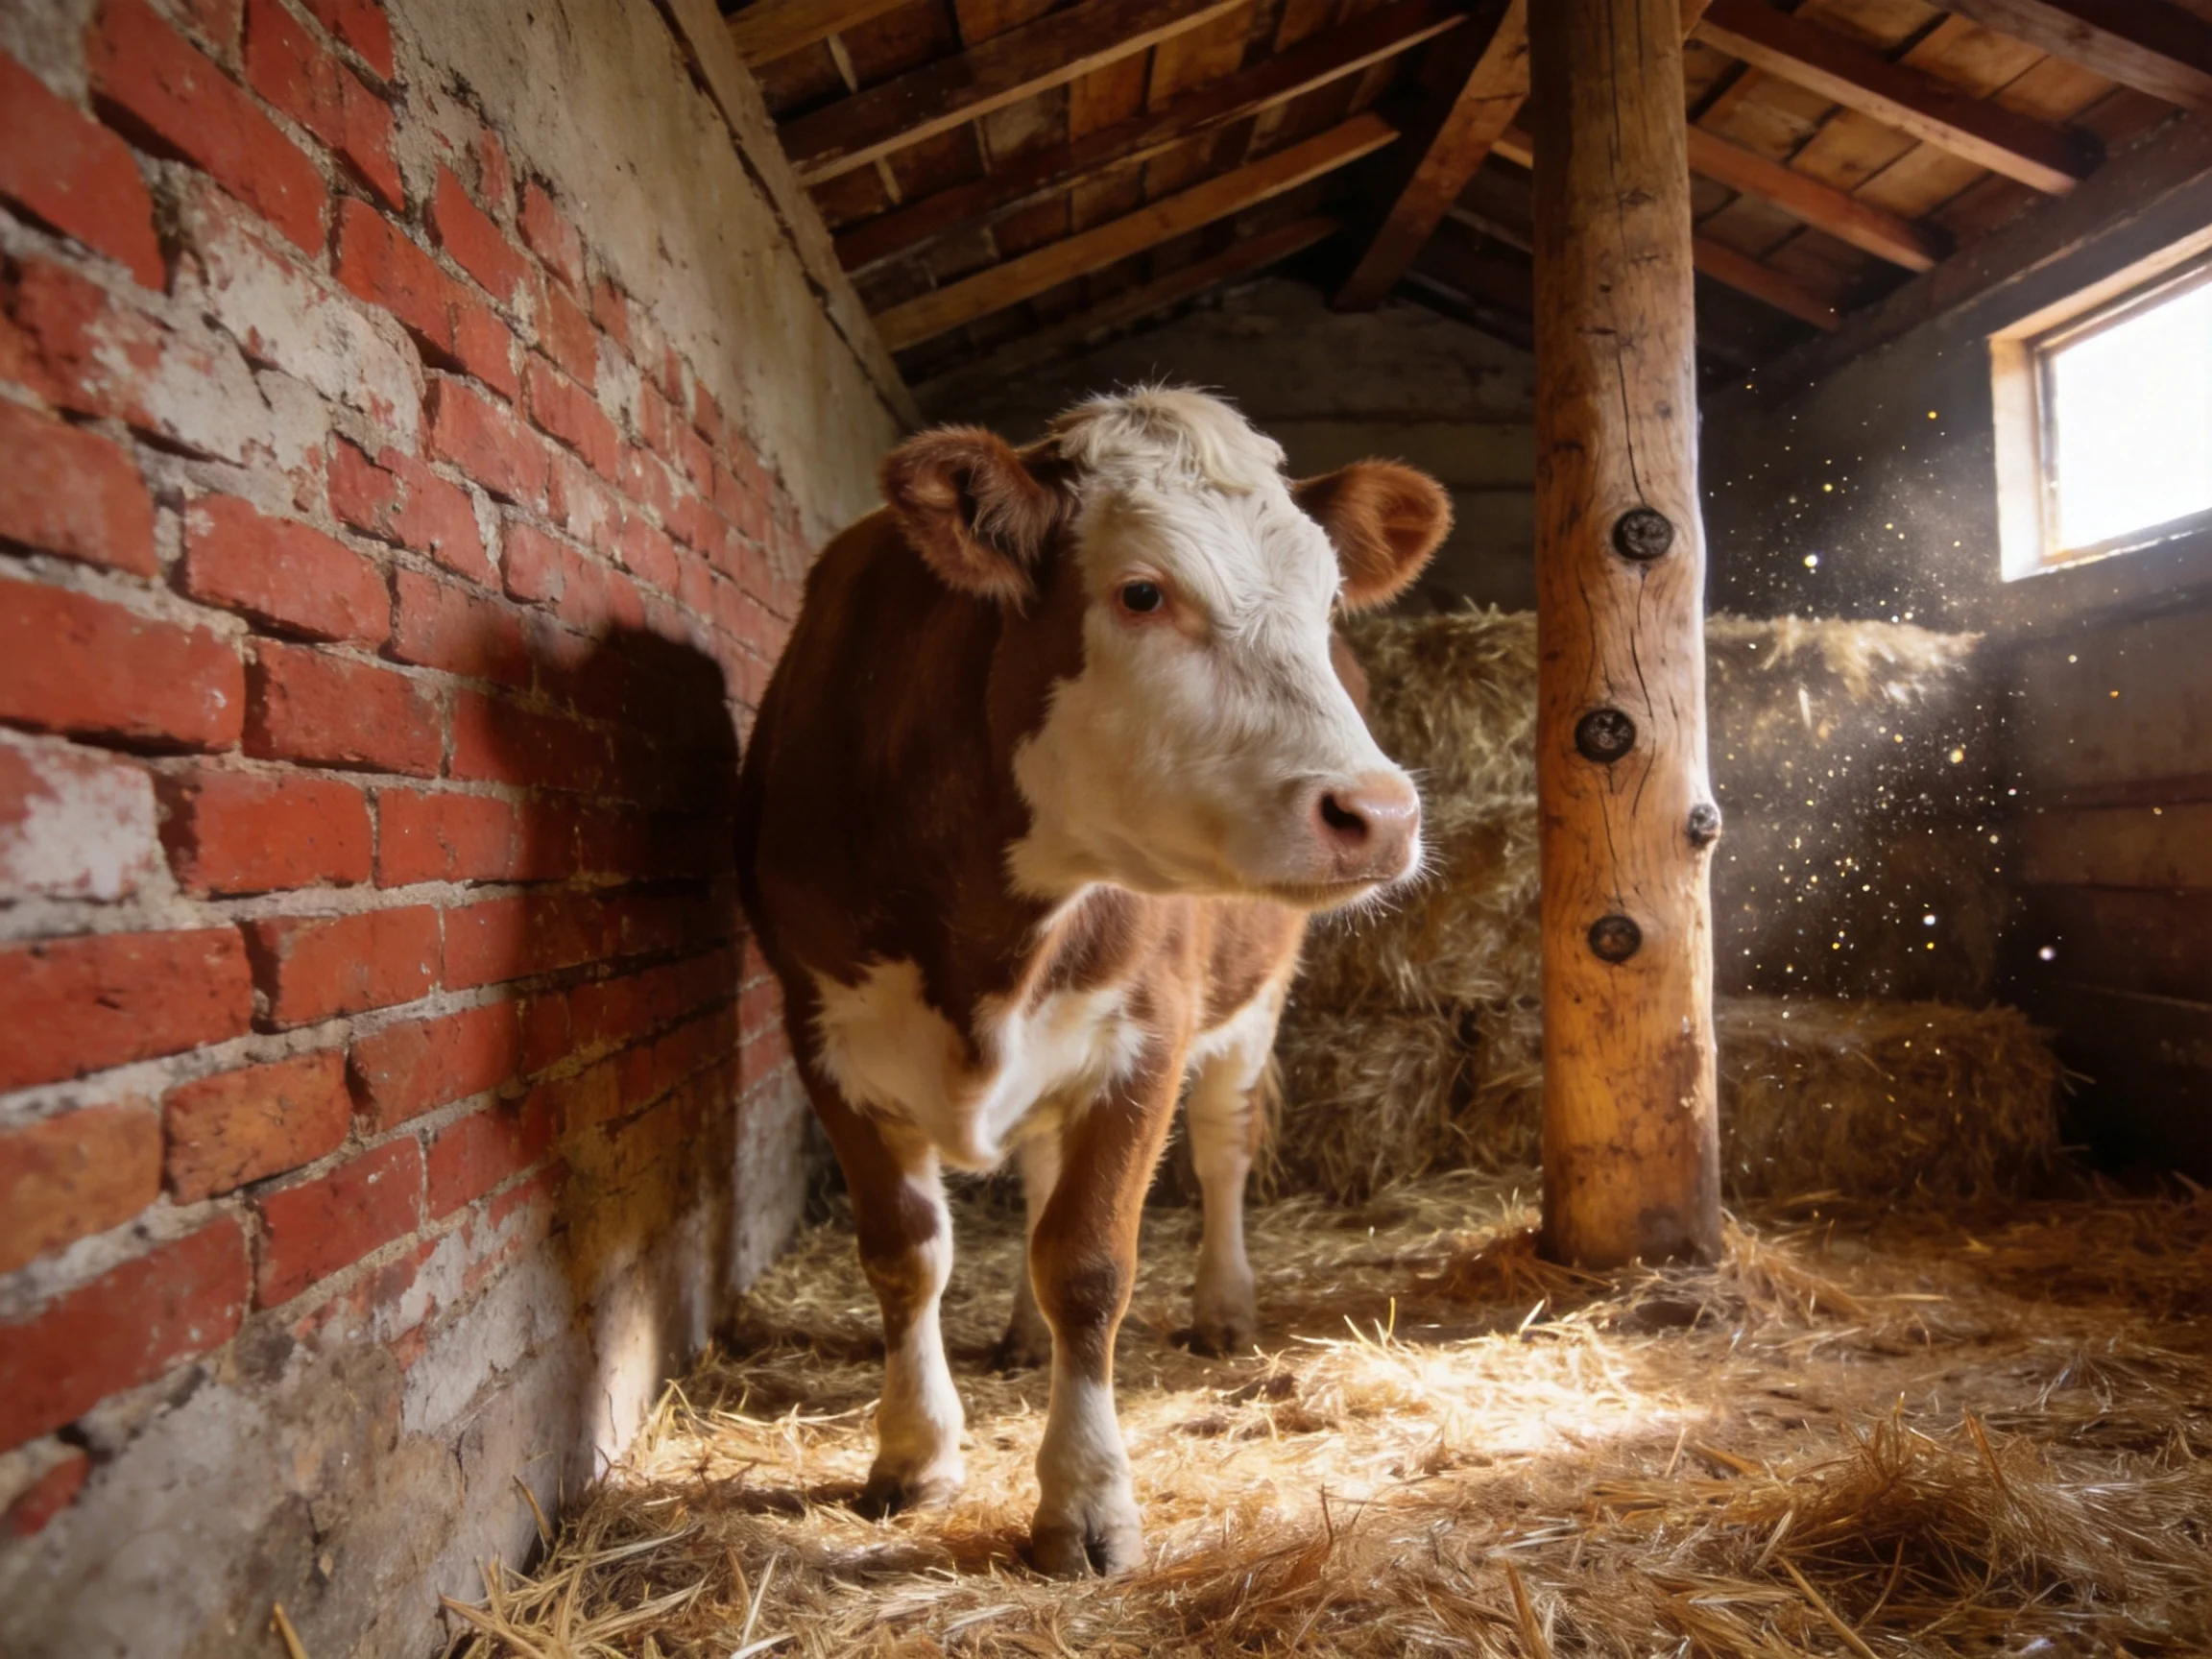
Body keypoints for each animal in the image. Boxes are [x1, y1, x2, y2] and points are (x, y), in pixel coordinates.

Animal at [735, 388, 1448, 1575]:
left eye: (1326, 598)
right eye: (1142, 591)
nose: (1380, 812)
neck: (984, 928)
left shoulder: (1146, 1032)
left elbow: (1087, 1261)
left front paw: (1084, 1501)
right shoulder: (821, 1032)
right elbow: (906, 1253)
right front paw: (914, 1455)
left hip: (1254, 1003)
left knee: (1221, 1149)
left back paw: (1221, 1307)